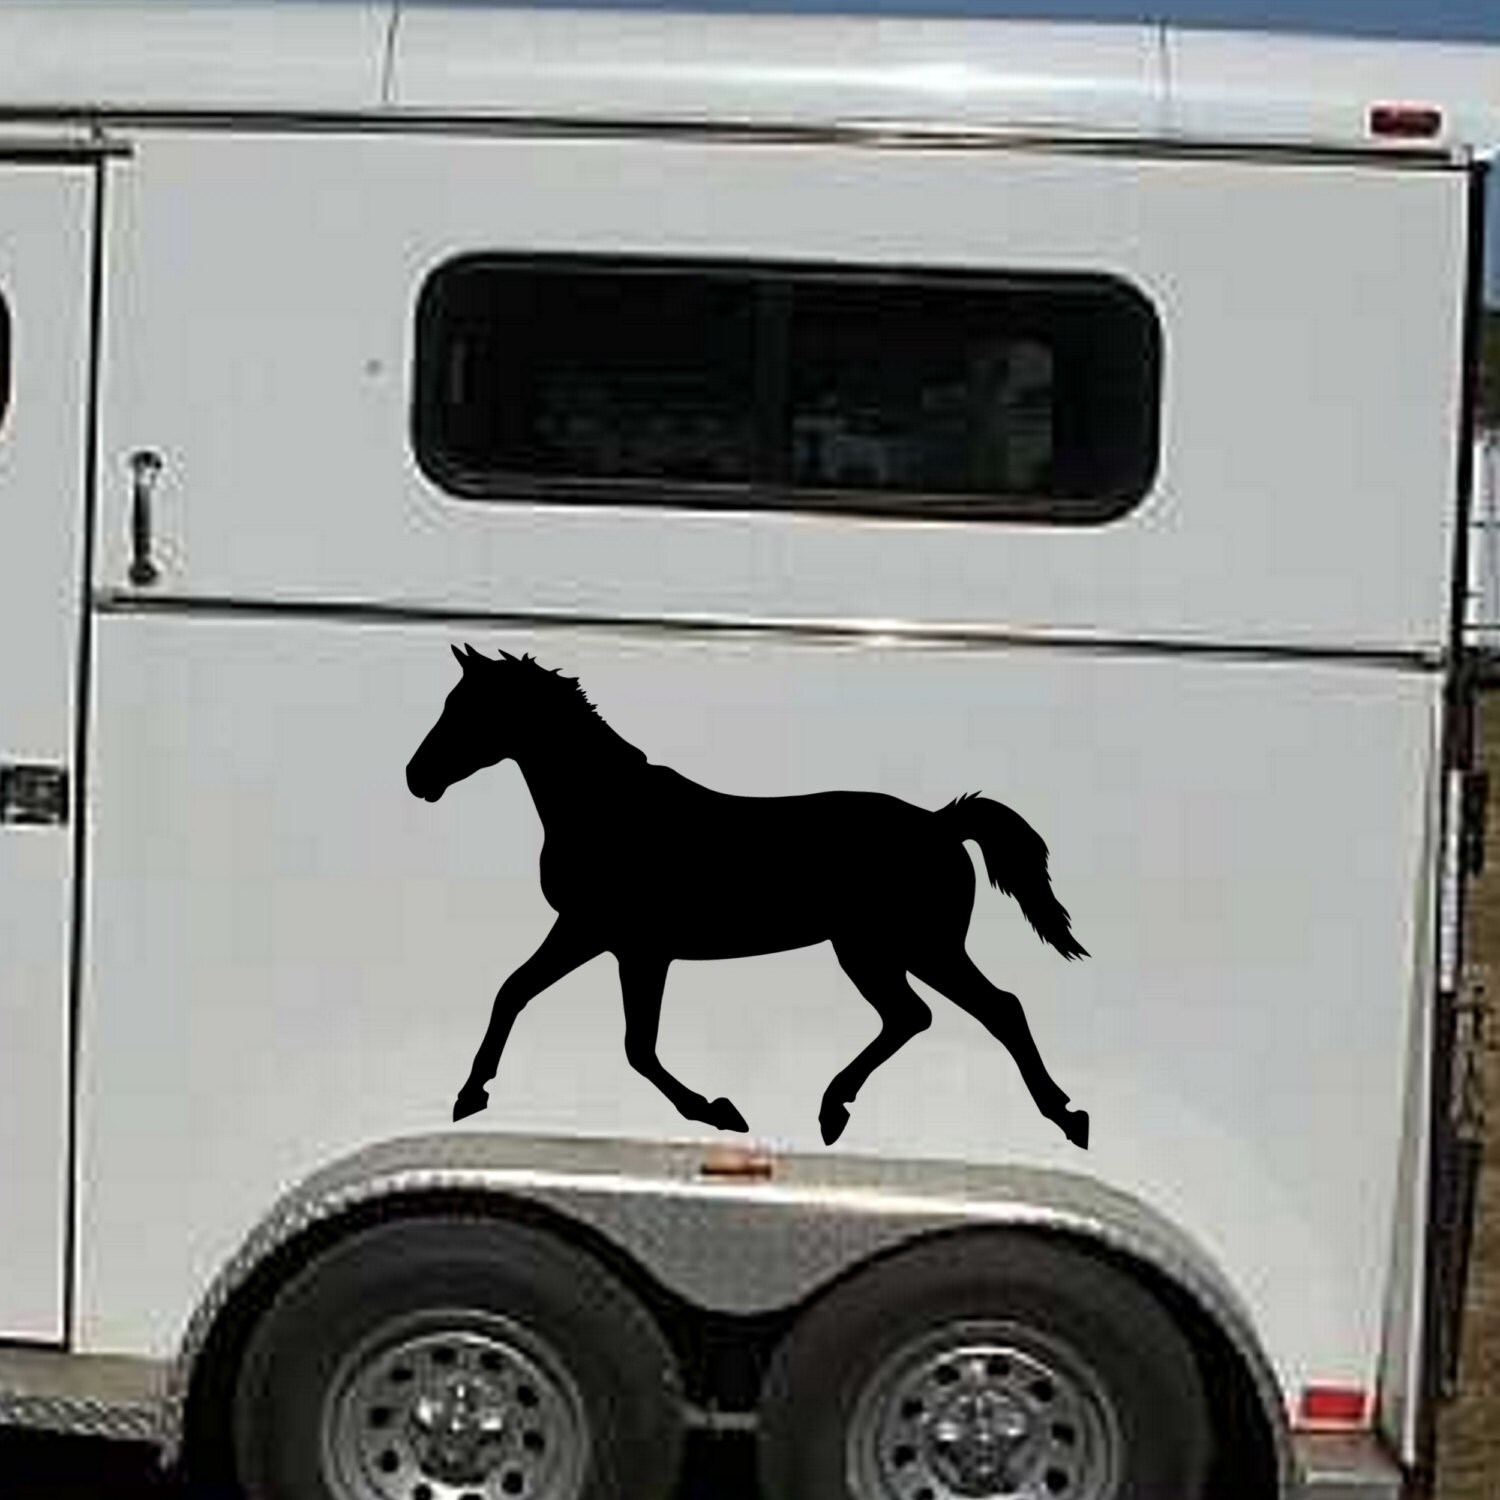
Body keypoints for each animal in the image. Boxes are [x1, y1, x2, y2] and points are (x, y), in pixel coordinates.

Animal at [406, 646, 1091, 1149]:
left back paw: (1065, 1117)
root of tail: (940, 824)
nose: (418, 778)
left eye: (471, 709)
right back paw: (837, 1110)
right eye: (450, 704)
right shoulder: (596, 937)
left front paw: (718, 1110)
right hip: (879, 950)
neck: (609, 811)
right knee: (917, 1016)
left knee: (990, 1009)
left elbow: (635, 1046)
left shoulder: (627, 945)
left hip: (912, 947)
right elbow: (517, 992)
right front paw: (471, 1095)